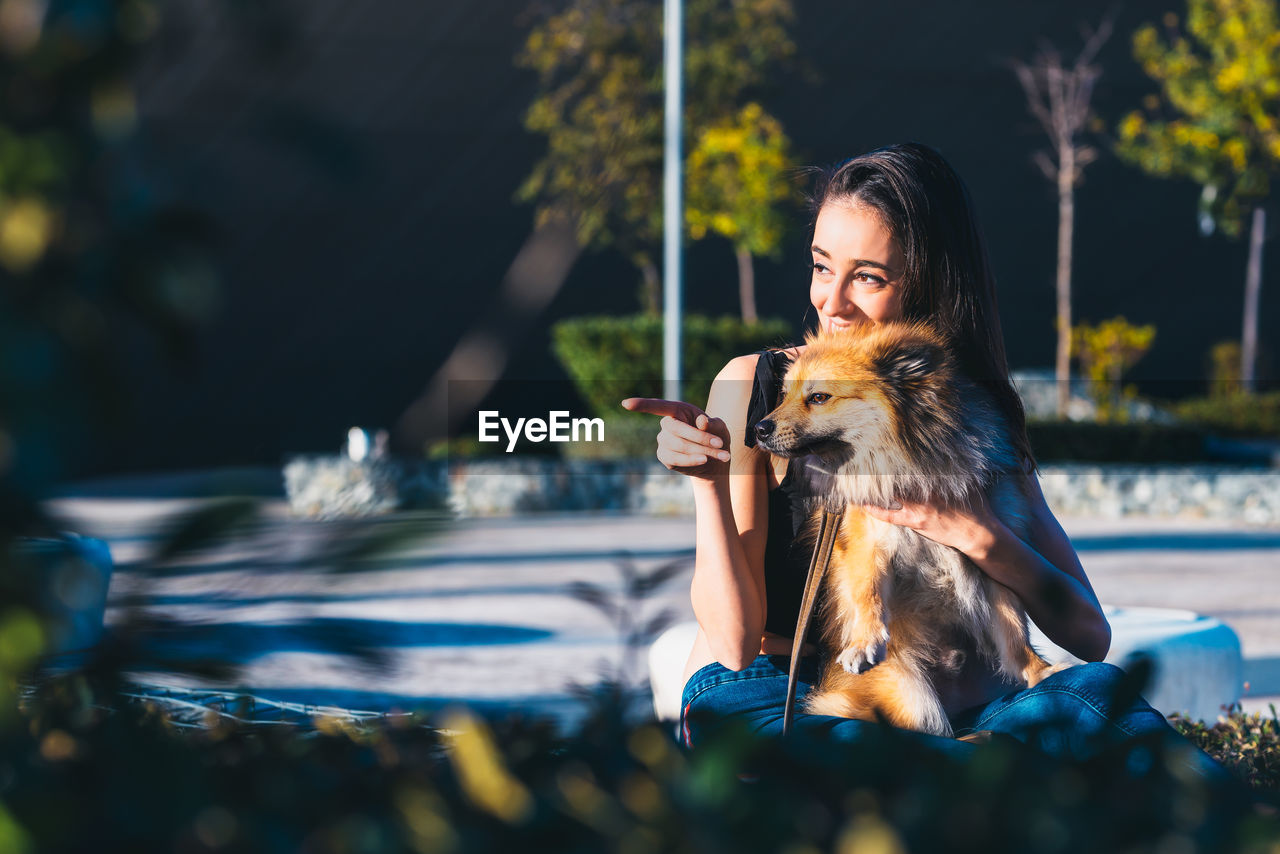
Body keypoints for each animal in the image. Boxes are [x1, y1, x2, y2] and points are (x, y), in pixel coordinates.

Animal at [757, 323, 1059, 737]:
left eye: (818, 397)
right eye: (784, 396)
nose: (759, 428)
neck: (910, 466)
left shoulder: (992, 557)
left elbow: (1013, 628)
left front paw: (1038, 670)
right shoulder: (868, 542)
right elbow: (866, 591)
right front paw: (865, 643)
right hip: (910, 692)